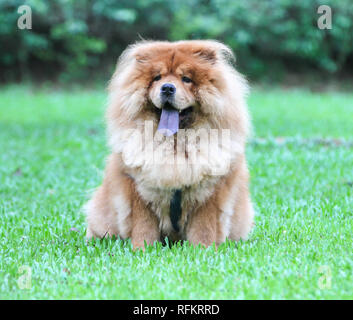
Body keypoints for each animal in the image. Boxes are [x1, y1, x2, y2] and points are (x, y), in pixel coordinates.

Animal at [86, 40, 254, 249]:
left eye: (186, 79)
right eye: (157, 77)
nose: (167, 88)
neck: (175, 145)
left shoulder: (210, 192)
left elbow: (204, 228)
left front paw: (203, 249)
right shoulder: (139, 189)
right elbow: (144, 227)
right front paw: (142, 249)